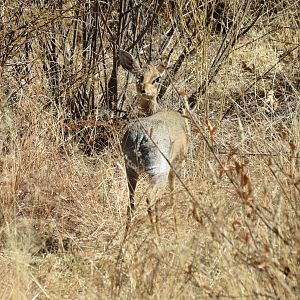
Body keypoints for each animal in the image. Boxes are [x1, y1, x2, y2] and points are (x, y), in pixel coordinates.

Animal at [119, 49, 195, 218]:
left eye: (157, 78)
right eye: (139, 76)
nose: (144, 90)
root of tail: (138, 138)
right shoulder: (177, 163)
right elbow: (173, 187)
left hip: (130, 169)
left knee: (131, 201)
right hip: (158, 170)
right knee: (150, 197)